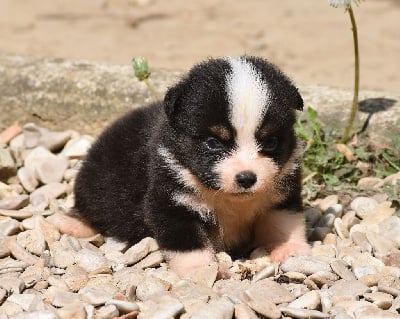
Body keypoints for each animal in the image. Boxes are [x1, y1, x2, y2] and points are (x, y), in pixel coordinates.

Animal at [74, 55, 312, 278]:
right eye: (213, 143)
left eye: (270, 142)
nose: (246, 178)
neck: (228, 200)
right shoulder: (173, 205)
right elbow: (190, 245)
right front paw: (200, 270)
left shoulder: (281, 196)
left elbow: (283, 224)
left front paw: (291, 249)